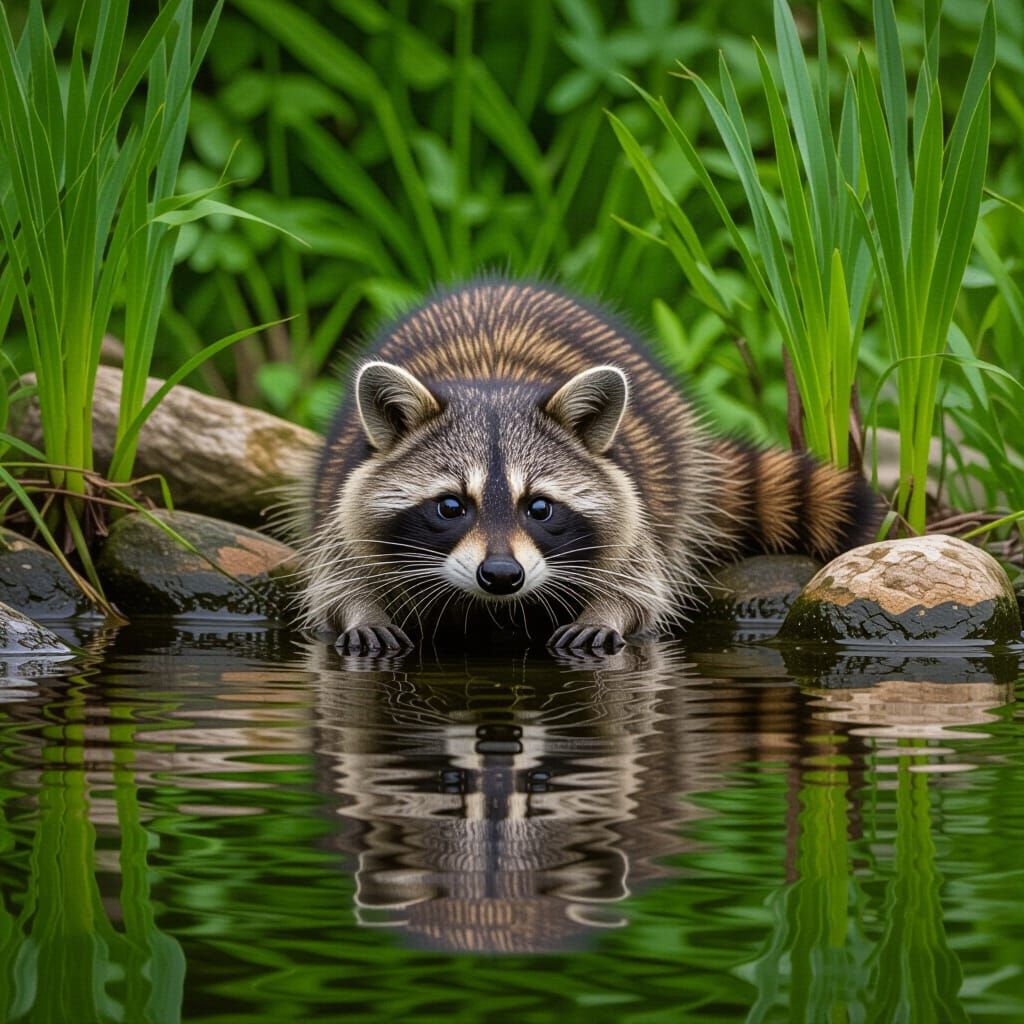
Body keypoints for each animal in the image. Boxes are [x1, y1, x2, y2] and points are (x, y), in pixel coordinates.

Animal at [303, 279, 881, 654]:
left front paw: (611, 610)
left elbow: (641, 581)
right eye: (451, 506)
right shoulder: (342, 492)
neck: (492, 383)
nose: (501, 576)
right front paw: (360, 608)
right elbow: (338, 571)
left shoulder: (635, 506)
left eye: (539, 507)